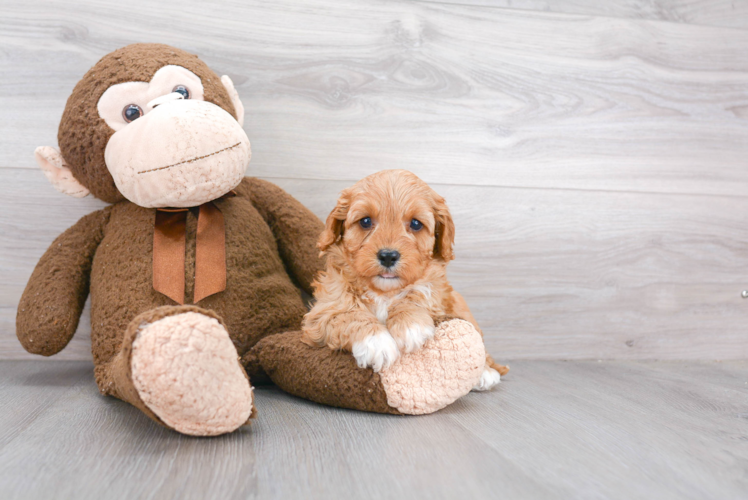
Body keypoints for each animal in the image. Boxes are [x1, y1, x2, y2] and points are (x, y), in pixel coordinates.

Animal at [304, 170, 508, 388]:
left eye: (416, 224)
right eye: (365, 221)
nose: (388, 256)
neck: (384, 291)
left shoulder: (435, 292)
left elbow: (417, 294)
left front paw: (410, 325)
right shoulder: (322, 311)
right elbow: (348, 314)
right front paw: (377, 342)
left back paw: (486, 373)